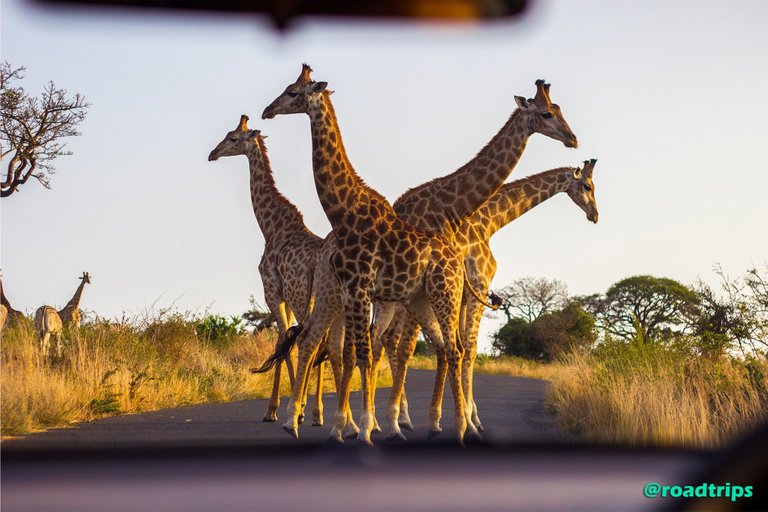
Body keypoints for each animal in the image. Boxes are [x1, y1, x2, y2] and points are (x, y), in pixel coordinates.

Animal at [376, 161, 604, 440]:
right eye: (588, 186)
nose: (595, 215)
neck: (489, 221)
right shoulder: (477, 289)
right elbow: (469, 350)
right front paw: (471, 420)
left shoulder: (465, 298)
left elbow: (460, 348)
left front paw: (463, 417)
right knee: (399, 343)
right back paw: (397, 420)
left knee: (383, 339)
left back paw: (390, 420)